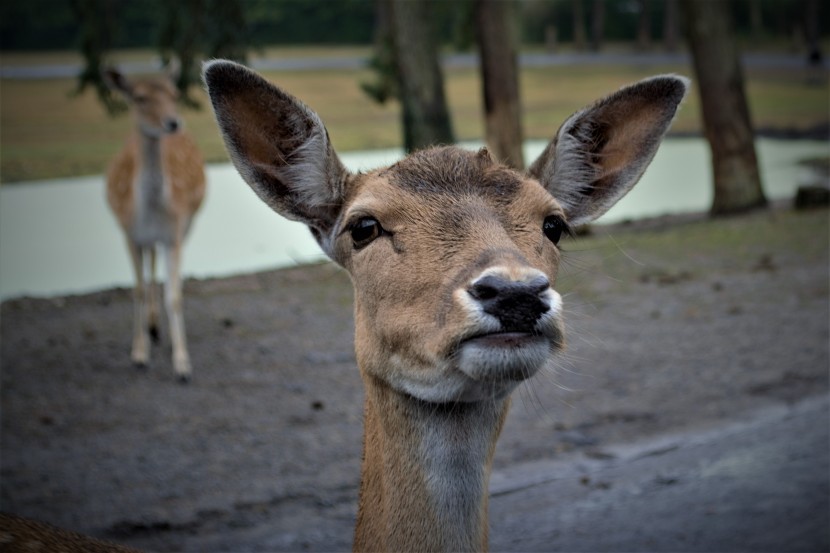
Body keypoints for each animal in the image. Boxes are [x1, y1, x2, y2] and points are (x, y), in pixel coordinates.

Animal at [103, 59, 206, 380]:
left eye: (175, 93)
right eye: (139, 97)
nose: (172, 122)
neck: (150, 211)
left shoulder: (174, 234)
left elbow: (175, 295)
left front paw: (182, 362)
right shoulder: (129, 233)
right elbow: (135, 290)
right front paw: (139, 353)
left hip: (187, 226)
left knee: (158, 266)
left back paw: (162, 331)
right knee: (149, 267)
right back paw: (151, 328)